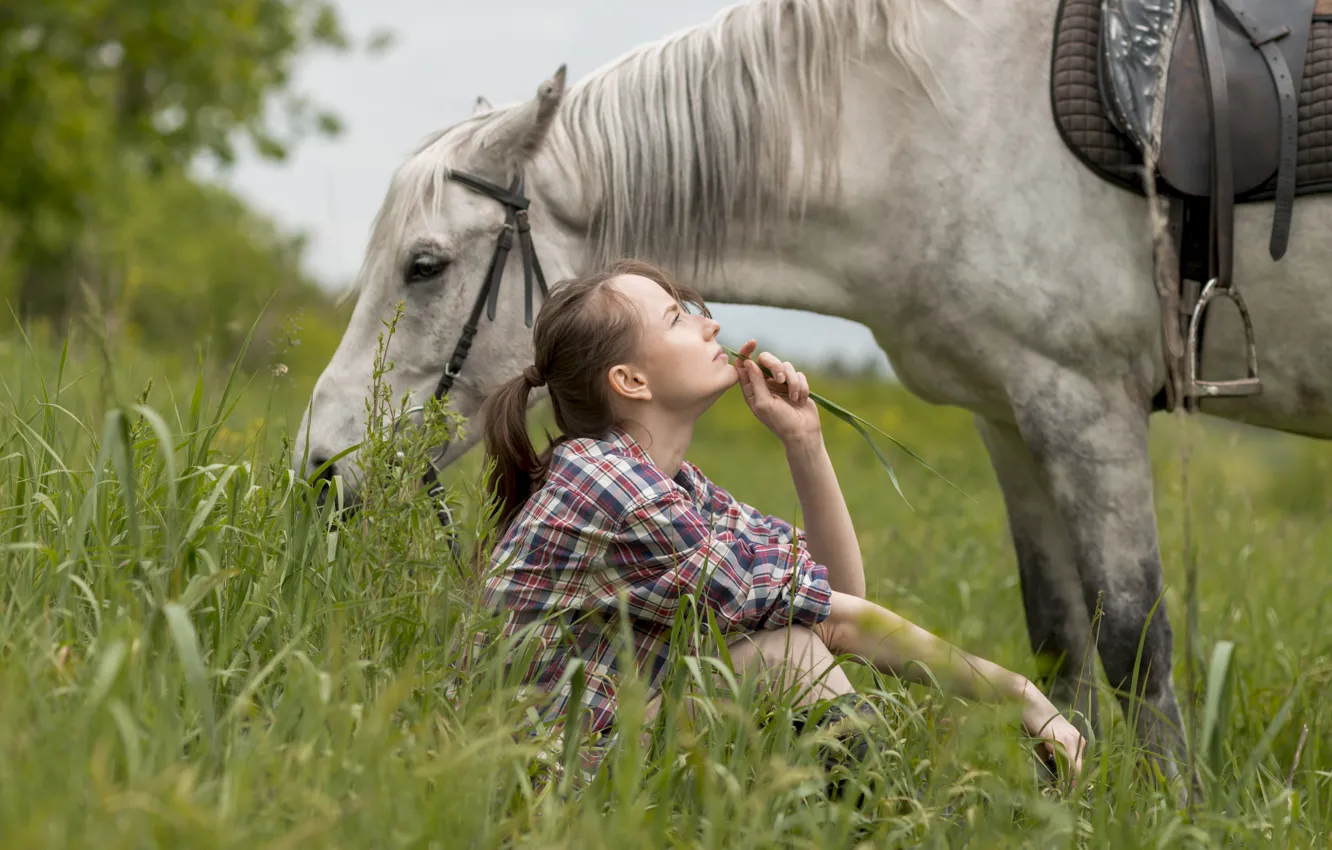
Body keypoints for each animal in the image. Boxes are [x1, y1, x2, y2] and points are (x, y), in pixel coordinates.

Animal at [292, 0, 1332, 793]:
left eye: (425, 265)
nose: (321, 467)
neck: (930, 114)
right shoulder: (1014, 410)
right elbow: (1058, 637)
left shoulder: (1084, 401)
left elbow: (1132, 638)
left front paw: (1166, 803)